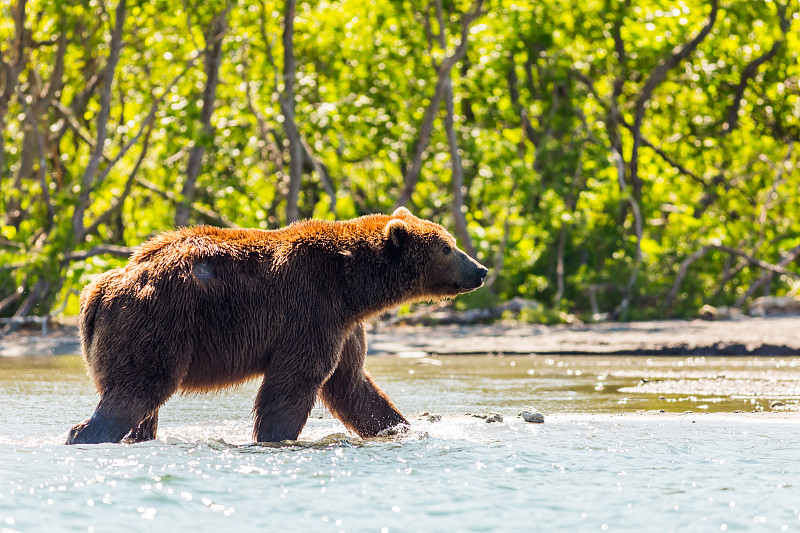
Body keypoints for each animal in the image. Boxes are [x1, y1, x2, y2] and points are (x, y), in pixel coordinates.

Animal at [65, 208, 488, 444]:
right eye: (447, 247)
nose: (480, 270)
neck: (354, 285)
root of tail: (99, 289)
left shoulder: (345, 326)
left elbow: (352, 386)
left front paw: (401, 428)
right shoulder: (311, 308)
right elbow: (295, 381)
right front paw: (275, 436)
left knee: (140, 405)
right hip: (158, 322)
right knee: (137, 390)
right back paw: (85, 434)